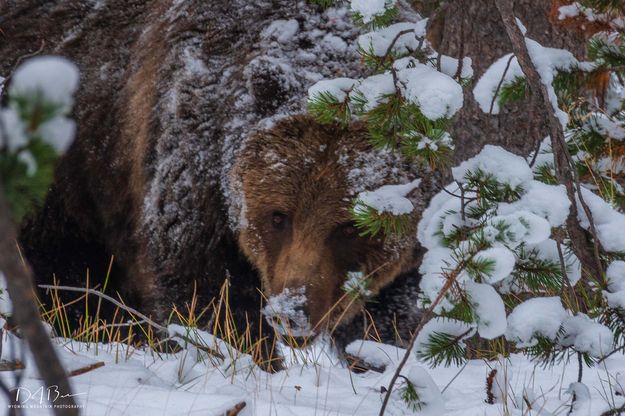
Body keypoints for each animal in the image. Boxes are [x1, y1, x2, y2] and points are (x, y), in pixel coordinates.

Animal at [1, 0, 424, 358]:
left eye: (351, 227)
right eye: (278, 216)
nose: (292, 313)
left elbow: (397, 308)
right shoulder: (193, 156)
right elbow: (206, 292)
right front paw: (245, 352)